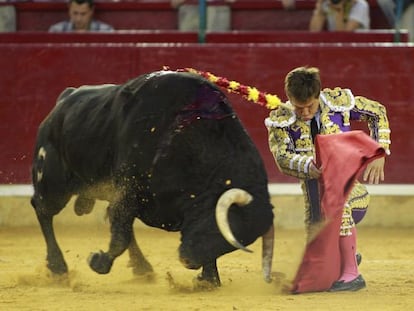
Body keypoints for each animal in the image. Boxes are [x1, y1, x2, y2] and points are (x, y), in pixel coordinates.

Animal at [29, 70, 274, 288]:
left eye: (230, 243)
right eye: (217, 227)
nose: (188, 261)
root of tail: (64, 99)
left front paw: (209, 279)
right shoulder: (130, 188)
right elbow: (120, 236)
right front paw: (97, 262)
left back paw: (142, 268)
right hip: (53, 183)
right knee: (42, 210)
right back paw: (58, 267)